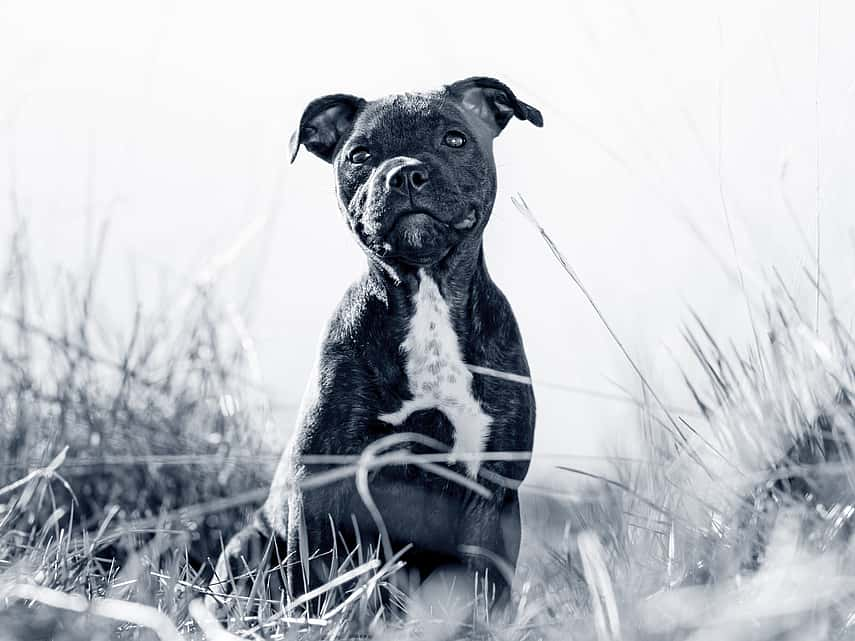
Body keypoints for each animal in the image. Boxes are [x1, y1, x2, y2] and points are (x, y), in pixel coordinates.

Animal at [209, 77, 540, 612]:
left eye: (455, 138)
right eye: (360, 154)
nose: (404, 173)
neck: (427, 296)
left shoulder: (491, 495)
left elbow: (483, 590)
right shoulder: (322, 483)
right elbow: (319, 581)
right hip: (248, 545)